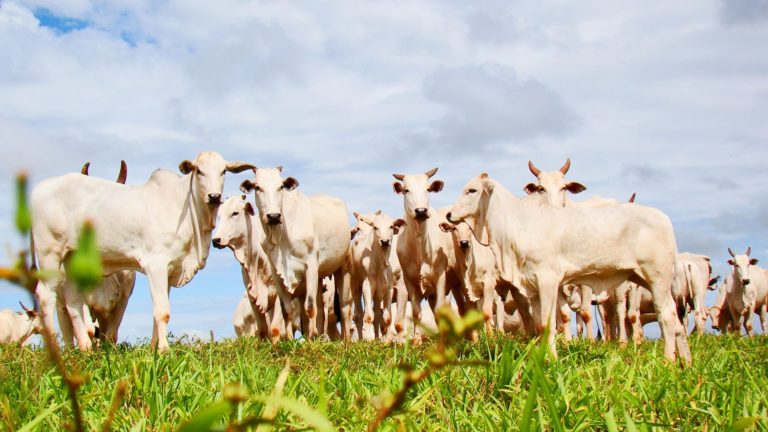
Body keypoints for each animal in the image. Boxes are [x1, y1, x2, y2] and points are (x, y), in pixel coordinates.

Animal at [31, 151, 254, 351]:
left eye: (223, 171)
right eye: (199, 170)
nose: (215, 196)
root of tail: (40, 188)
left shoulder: (169, 270)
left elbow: (157, 313)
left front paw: (154, 349)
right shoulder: (156, 265)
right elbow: (162, 311)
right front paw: (164, 351)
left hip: (72, 258)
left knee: (73, 300)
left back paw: (86, 350)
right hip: (49, 254)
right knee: (46, 295)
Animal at [239, 167, 350, 339]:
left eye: (280, 187)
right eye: (258, 187)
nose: (274, 216)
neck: (282, 235)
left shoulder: (310, 267)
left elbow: (309, 306)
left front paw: (311, 338)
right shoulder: (278, 274)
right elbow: (286, 310)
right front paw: (291, 340)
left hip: (342, 268)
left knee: (344, 308)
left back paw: (345, 339)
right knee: (320, 309)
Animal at [446, 173, 691, 363]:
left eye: (472, 190)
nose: (448, 214)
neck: (519, 225)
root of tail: (663, 218)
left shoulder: (548, 279)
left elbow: (548, 323)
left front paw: (551, 360)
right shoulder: (532, 286)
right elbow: (538, 325)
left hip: (657, 277)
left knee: (667, 315)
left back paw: (669, 361)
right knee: (677, 322)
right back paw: (685, 363)